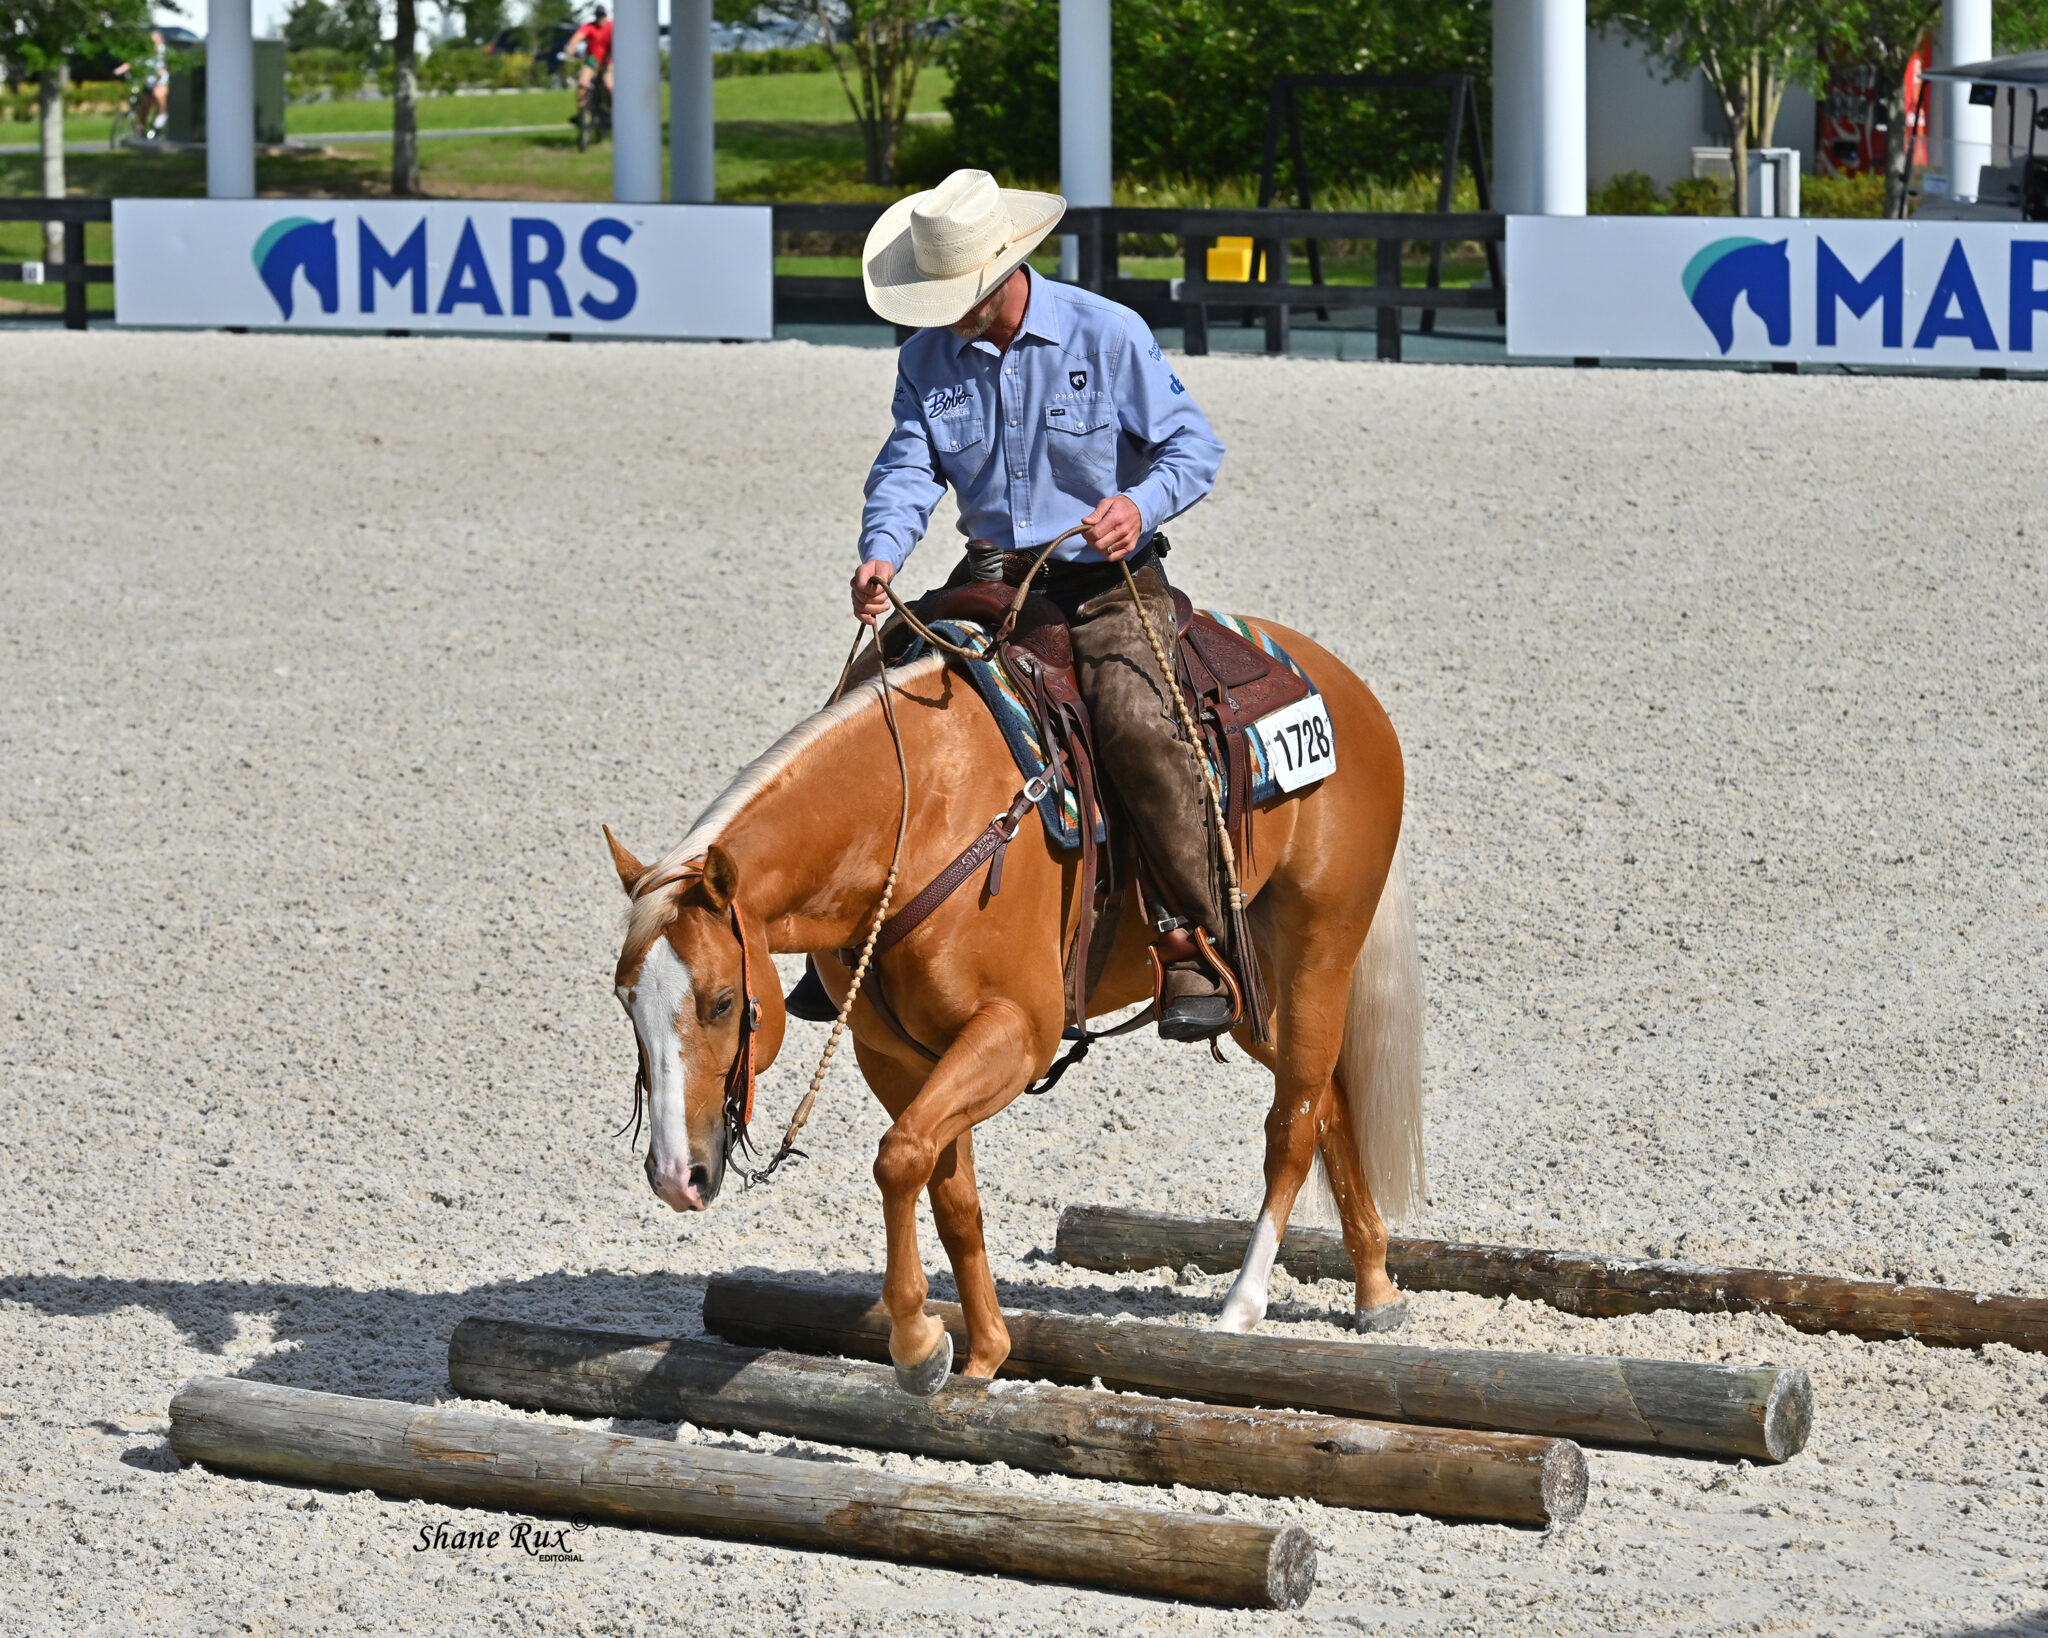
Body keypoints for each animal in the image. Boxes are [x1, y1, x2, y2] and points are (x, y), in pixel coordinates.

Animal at [598, 614, 1417, 1392]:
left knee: (1293, 1120)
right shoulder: (897, 1055)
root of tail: (1342, 684)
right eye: (626, 1001)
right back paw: (1376, 1286)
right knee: (1325, 1095)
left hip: (1319, 949)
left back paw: (1242, 1306)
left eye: (723, 1001)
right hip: (1252, 991)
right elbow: (946, 1188)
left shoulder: (1016, 1034)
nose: (675, 1176)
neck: (917, 822)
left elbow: (898, 1159)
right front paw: (984, 1353)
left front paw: (918, 1345)